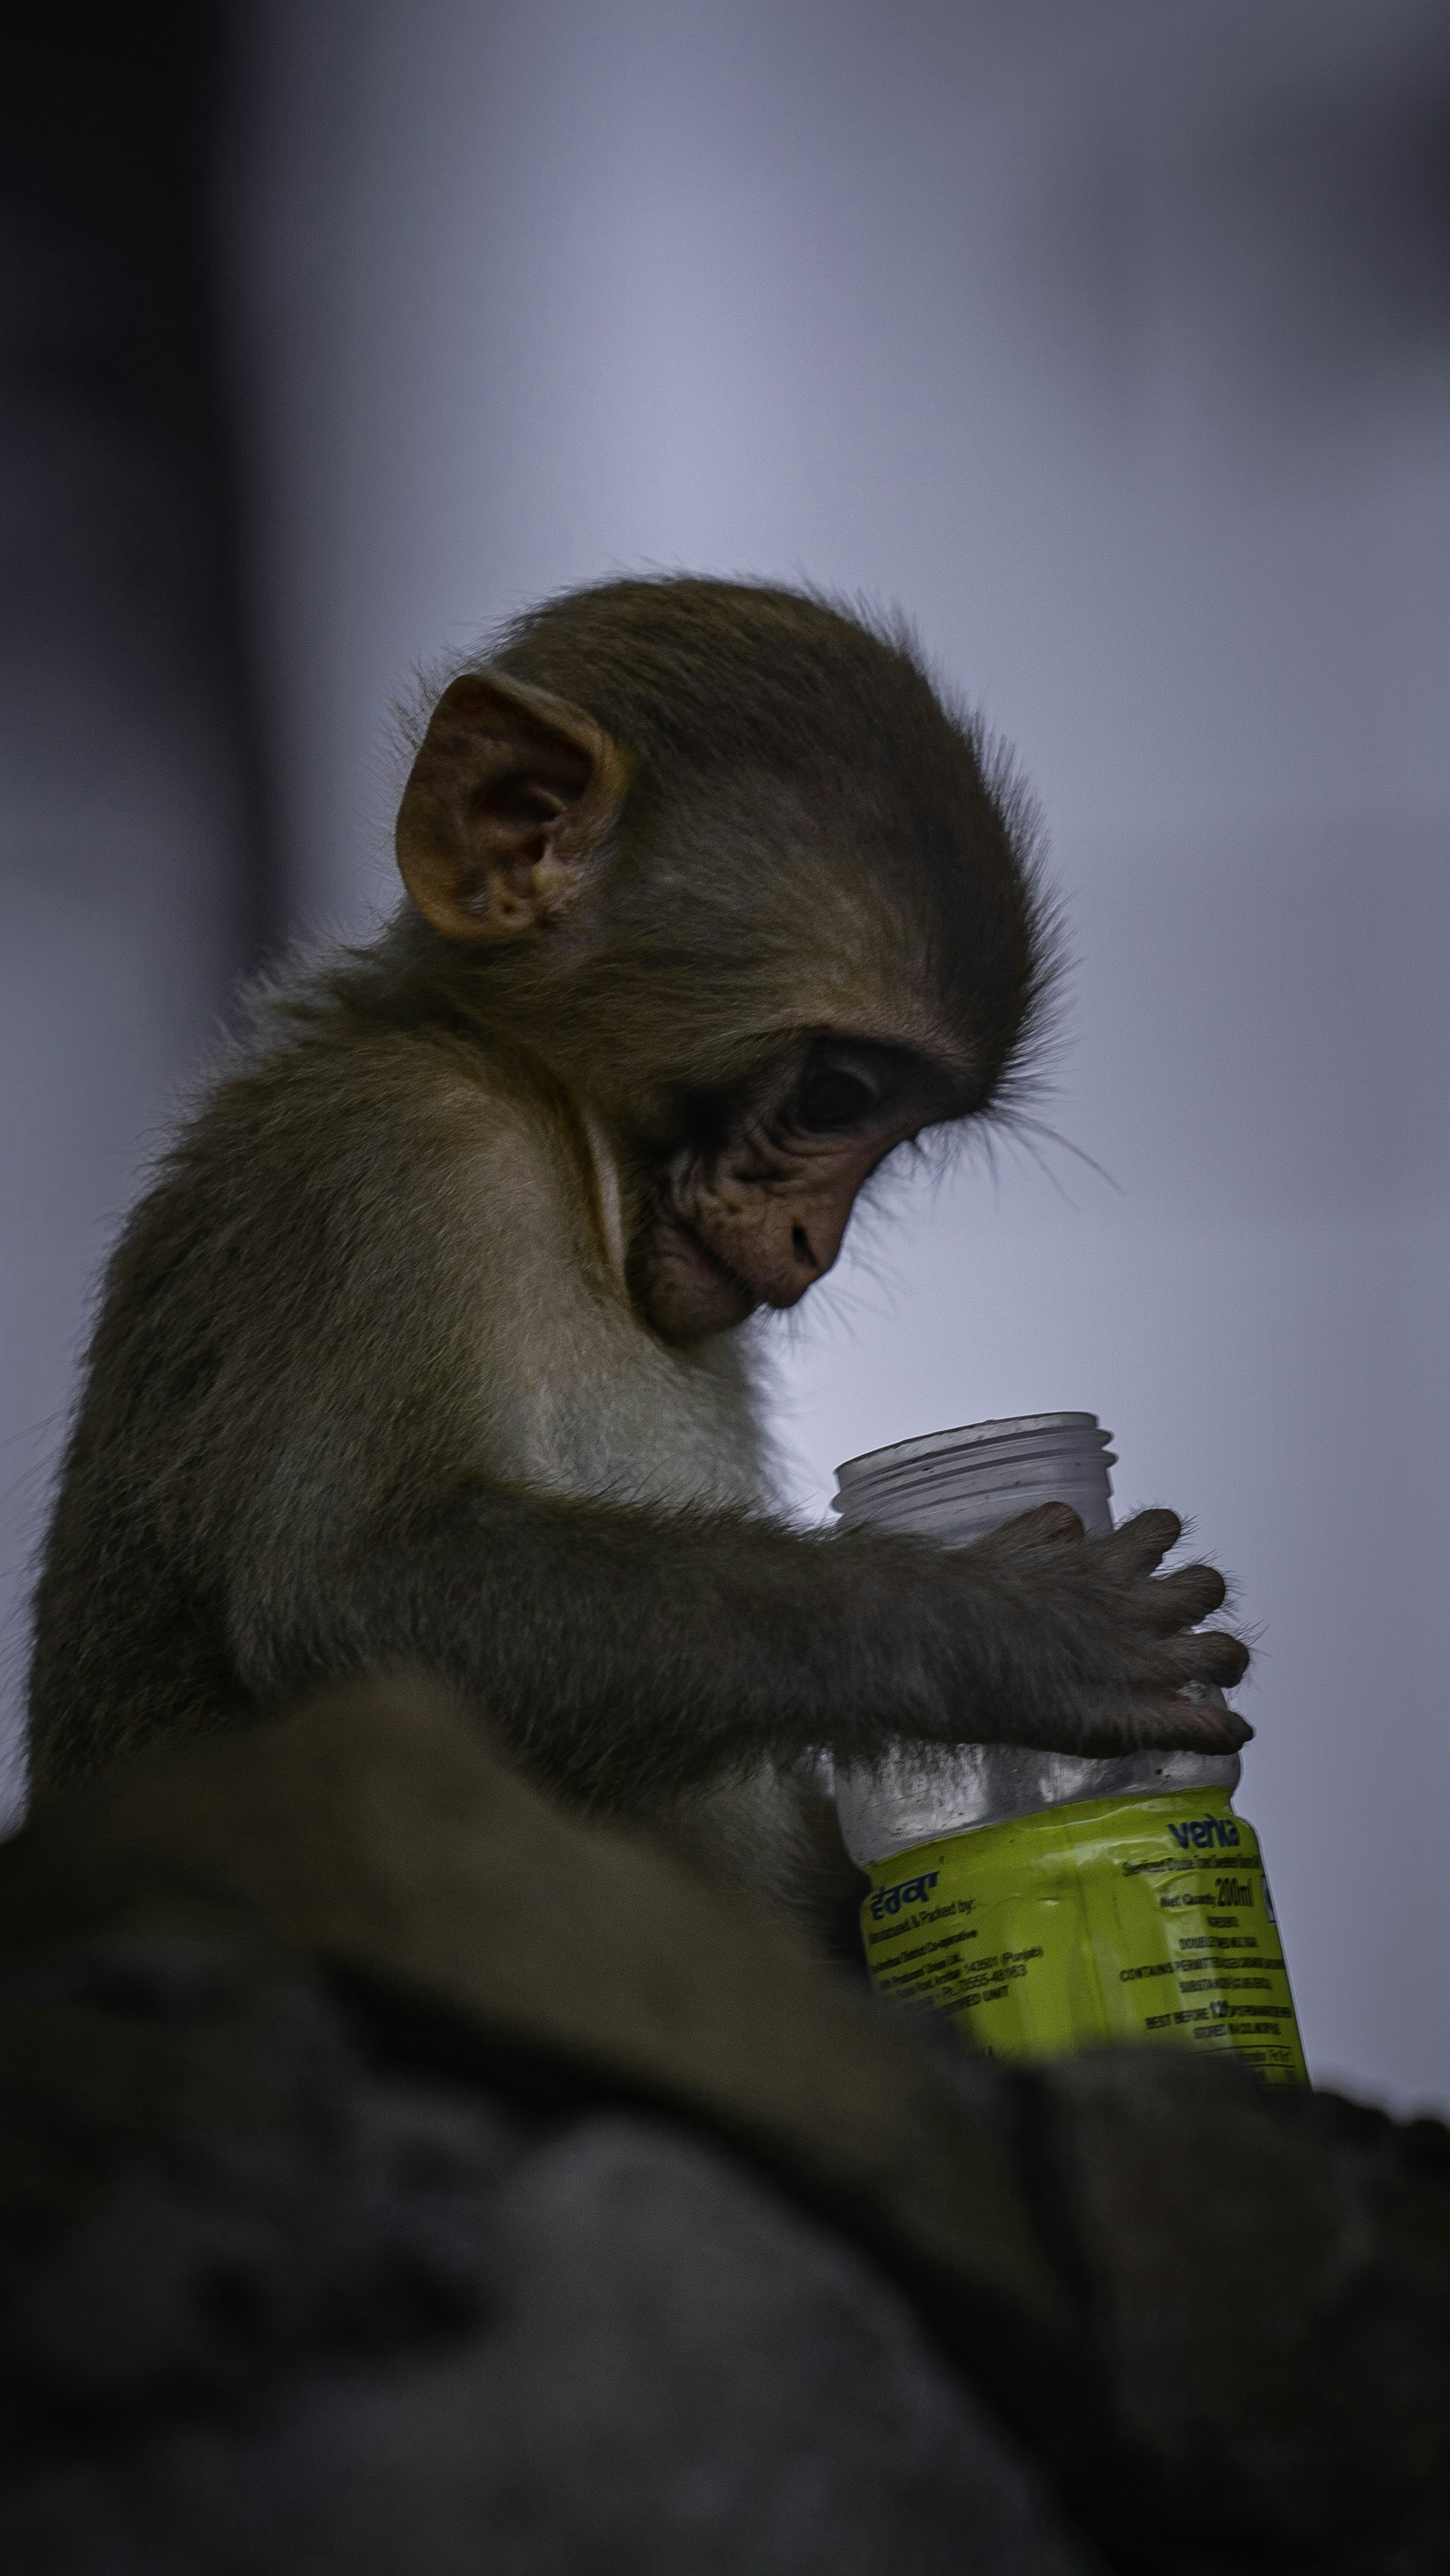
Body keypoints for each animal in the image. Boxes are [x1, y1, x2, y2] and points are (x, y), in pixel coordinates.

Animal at [25, 576, 1249, 1935]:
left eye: (895, 1130)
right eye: (836, 1094)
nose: (813, 1248)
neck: (559, 1135)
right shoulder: (386, 1156)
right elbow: (344, 1598)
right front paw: (993, 1631)